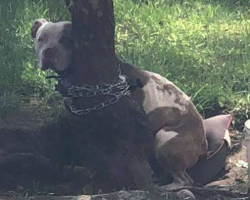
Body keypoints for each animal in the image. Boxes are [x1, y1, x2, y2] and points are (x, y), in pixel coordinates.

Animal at [31, 18, 207, 191]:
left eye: (66, 40)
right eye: (41, 39)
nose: (49, 51)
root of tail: (202, 142)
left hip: (165, 140)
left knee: (185, 180)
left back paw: (166, 188)